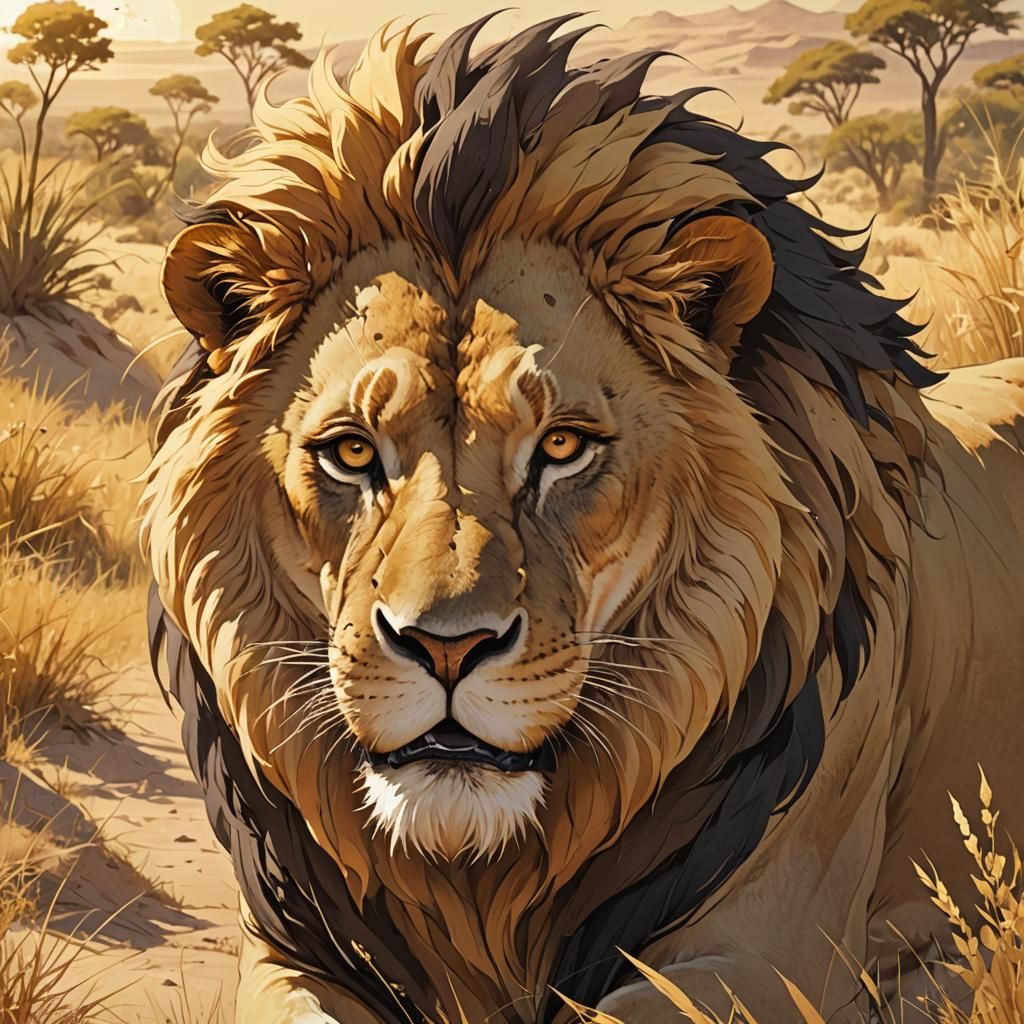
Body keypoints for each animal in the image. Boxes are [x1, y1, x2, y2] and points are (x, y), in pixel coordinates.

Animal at [142, 16, 1024, 1024]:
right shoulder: (288, 946)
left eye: (562, 447)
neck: (481, 876)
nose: (446, 648)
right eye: (353, 452)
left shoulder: (775, 949)